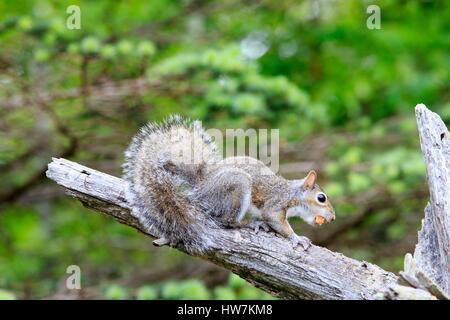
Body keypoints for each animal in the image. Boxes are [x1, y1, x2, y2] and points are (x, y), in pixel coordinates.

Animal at [122, 116, 334, 254]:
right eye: (321, 198)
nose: (332, 218)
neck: (293, 194)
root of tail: (201, 185)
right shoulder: (276, 203)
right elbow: (275, 220)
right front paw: (297, 238)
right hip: (237, 186)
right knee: (227, 221)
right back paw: (249, 223)